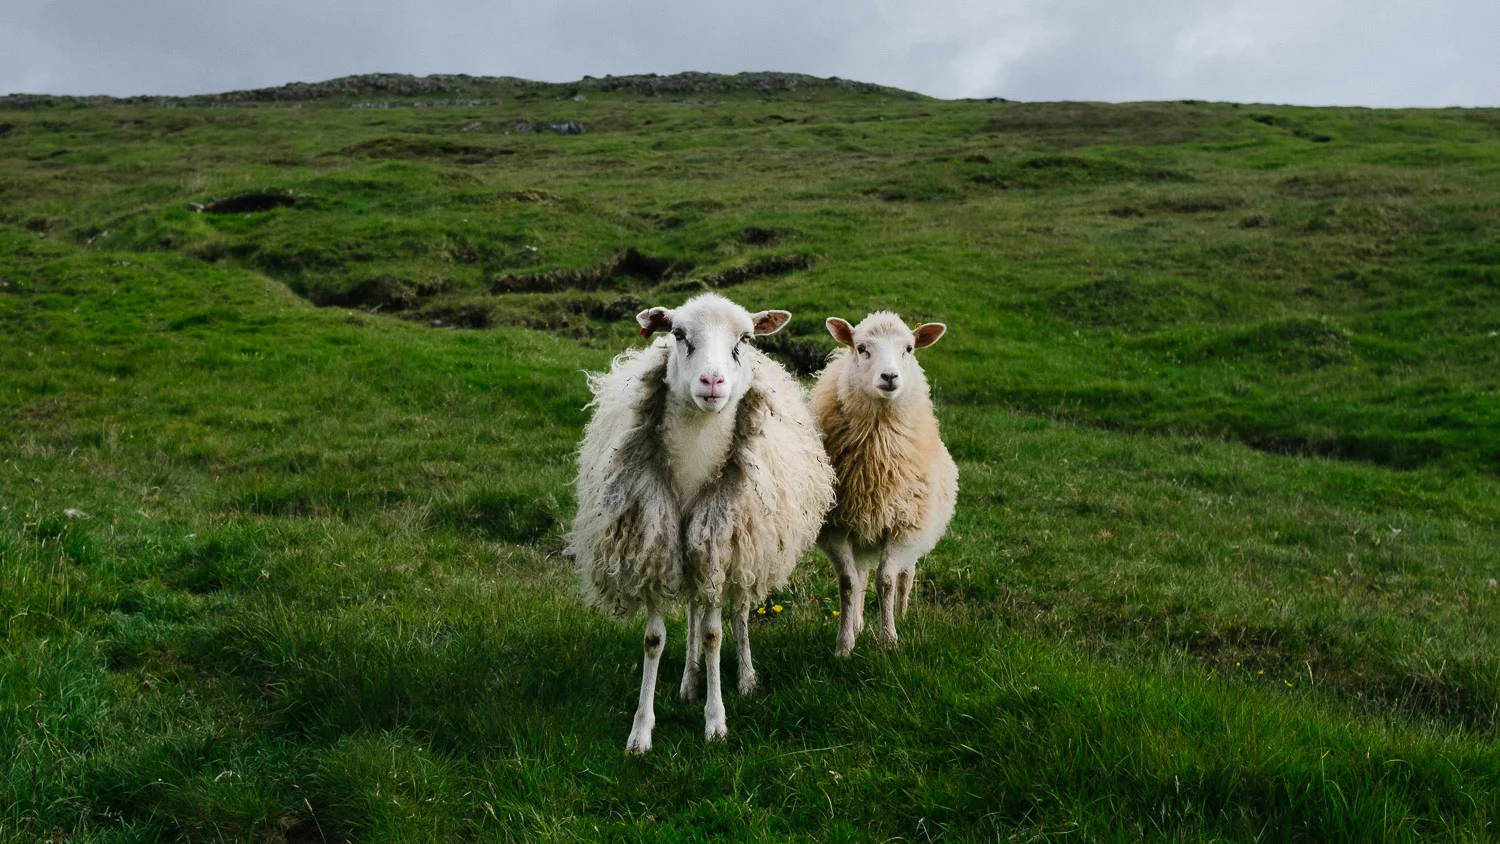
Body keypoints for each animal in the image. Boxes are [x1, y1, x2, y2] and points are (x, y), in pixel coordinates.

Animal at [568, 292, 835, 753]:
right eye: (678, 333)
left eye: (744, 338)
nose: (712, 382)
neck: (693, 468)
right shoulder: (654, 547)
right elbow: (654, 640)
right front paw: (641, 730)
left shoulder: (719, 547)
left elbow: (715, 634)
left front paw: (716, 722)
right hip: (690, 544)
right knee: (694, 607)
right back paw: (689, 681)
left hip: (740, 543)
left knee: (739, 611)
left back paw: (745, 676)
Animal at [811, 312, 957, 656]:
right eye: (861, 348)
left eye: (909, 348)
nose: (889, 377)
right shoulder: (837, 527)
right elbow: (848, 583)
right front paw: (844, 644)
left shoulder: (904, 526)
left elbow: (887, 581)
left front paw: (889, 639)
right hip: (860, 534)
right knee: (861, 576)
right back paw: (857, 623)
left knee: (906, 571)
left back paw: (902, 613)